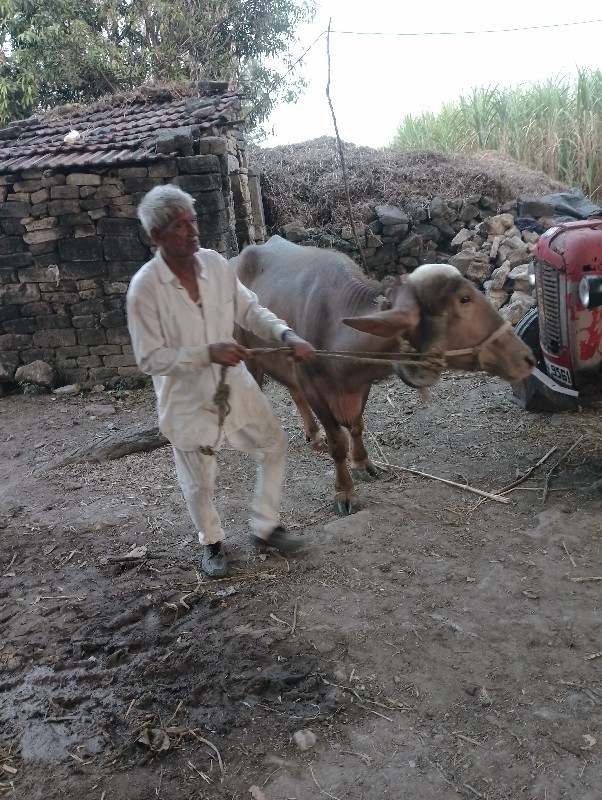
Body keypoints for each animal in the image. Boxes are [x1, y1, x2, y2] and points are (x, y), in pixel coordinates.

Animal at [231, 234, 536, 516]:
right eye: (464, 299)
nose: (527, 357)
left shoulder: (361, 383)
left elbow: (356, 425)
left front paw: (363, 463)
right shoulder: (314, 389)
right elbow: (338, 442)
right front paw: (345, 492)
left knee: (293, 392)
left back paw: (313, 435)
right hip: (248, 354)